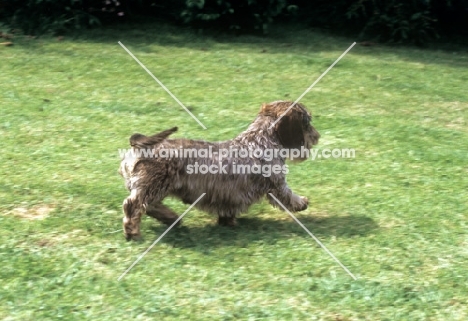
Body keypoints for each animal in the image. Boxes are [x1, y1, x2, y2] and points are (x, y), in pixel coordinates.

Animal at [119, 101, 320, 239]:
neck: (259, 140)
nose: (317, 136)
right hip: (154, 185)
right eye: (307, 122)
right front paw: (302, 202)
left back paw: (171, 217)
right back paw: (133, 232)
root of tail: (139, 146)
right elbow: (288, 196)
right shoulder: (276, 185)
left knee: (150, 206)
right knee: (133, 205)